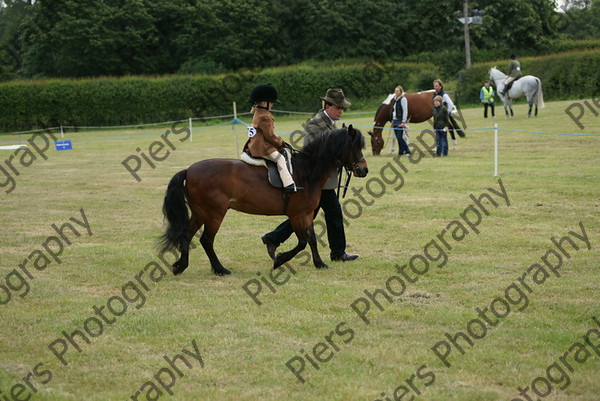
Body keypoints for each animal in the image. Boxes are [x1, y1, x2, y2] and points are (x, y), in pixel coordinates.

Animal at [157, 125, 368, 276]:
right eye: (355, 147)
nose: (364, 170)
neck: (306, 171)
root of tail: (189, 170)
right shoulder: (297, 215)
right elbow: (302, 242)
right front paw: (279, 259)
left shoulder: (307, 214)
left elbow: (312, 239)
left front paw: (319, 263)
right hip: (215, 213)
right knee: (206, 240)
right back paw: (220, 269)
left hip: (200, 213)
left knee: (187, 235)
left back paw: (180, 266)